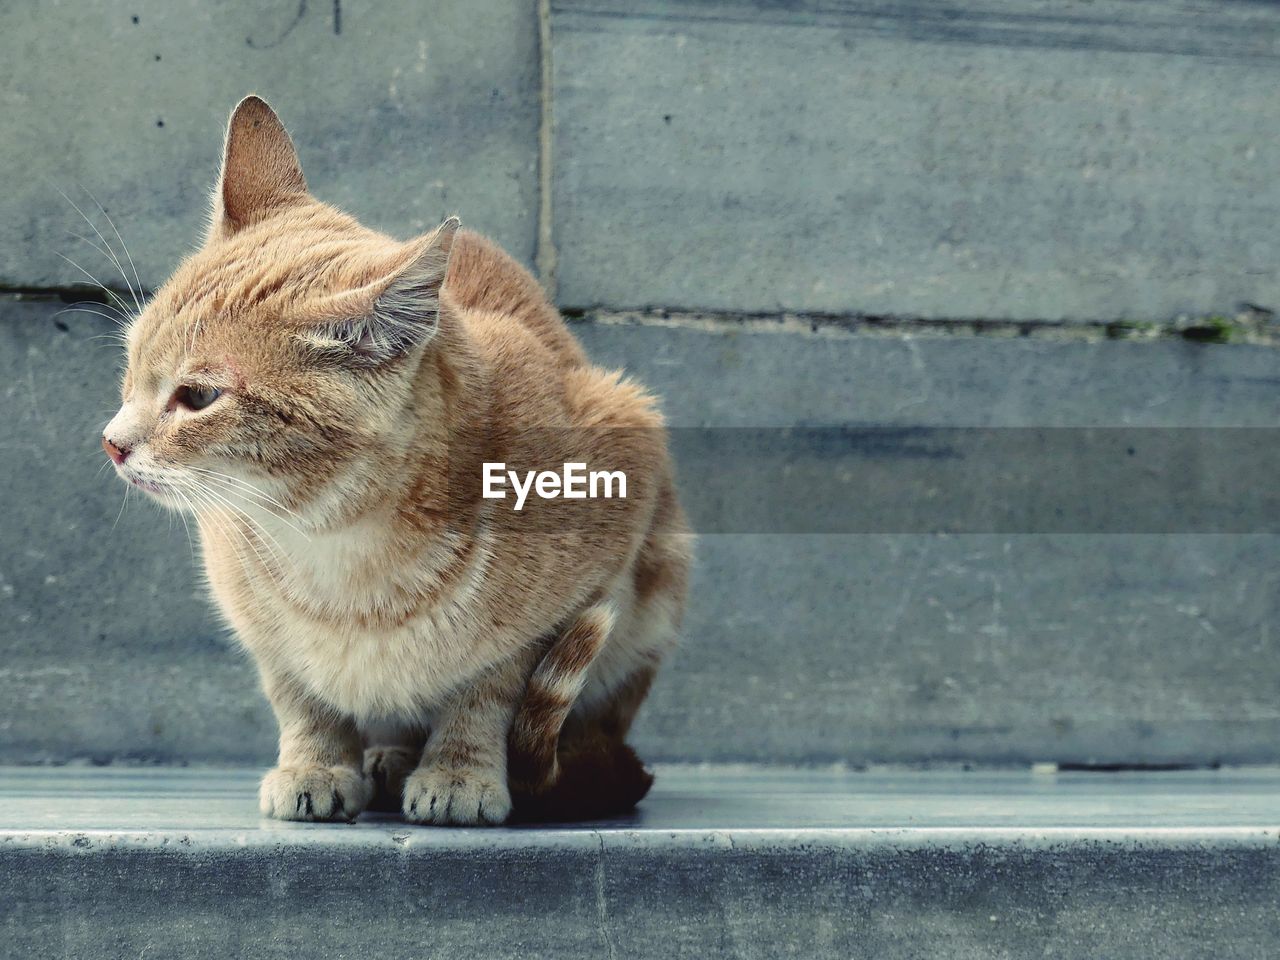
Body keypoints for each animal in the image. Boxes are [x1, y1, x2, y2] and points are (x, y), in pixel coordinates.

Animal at [104, 97, 696, 829]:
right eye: (132, 364)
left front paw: (458, 772)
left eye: (198, 397)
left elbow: (486, 692)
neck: (339, 547)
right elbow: (300, 696)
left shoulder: (570, 587)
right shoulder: (262, 630)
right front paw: (315, 766)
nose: (111, 440)